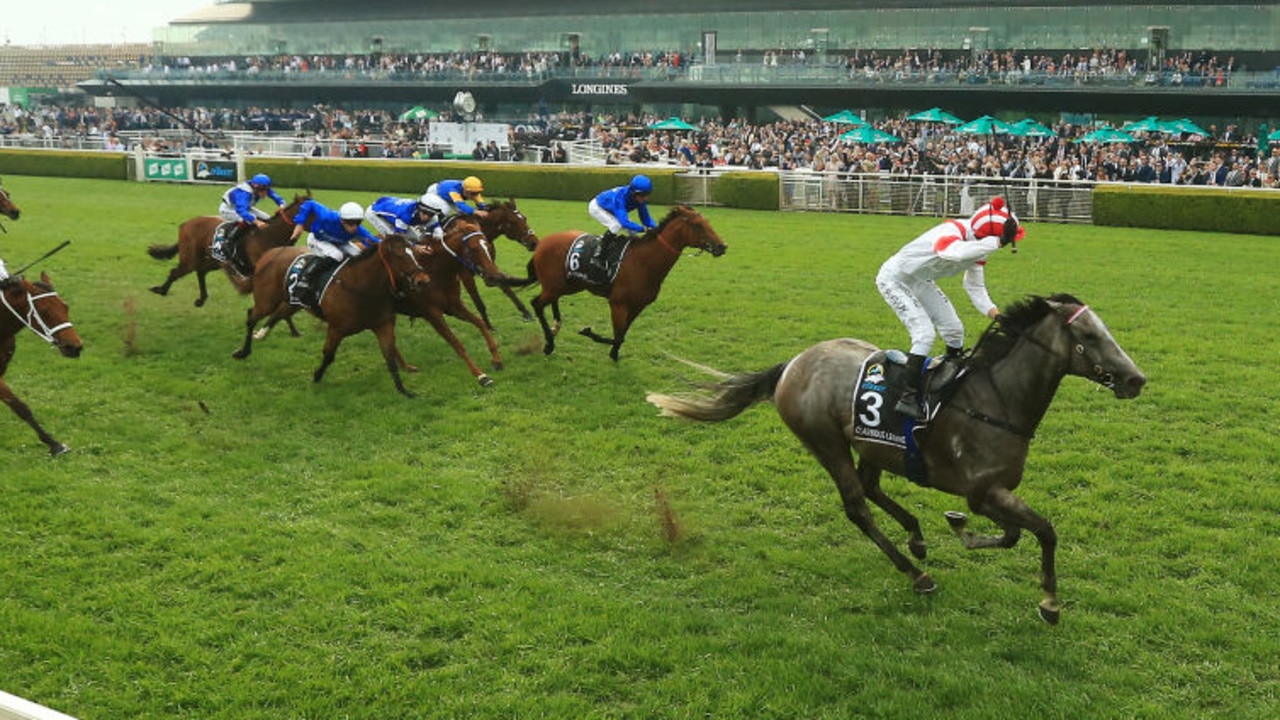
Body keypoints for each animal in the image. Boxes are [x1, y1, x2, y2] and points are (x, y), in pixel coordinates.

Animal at [0, 271, 82, 456]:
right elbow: (20, 407)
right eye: (44, 311)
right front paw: (55, 445)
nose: (75, 347)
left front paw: (55, 444)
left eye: (65, 307)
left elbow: (19, 407)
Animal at [147, 192, 309, 303]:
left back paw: (201, 299)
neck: (269, 235)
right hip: (190, 259)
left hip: (215, 260)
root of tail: (186, 224)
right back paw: (161, 290)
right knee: (175, 272)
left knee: (201, 271)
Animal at [231, 234, 430, 392]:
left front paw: (404, 389)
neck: (362, 287)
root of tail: (268, 255)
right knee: (251, 316)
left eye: (414, 253)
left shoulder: (383, 325)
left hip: (292, 302)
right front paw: (317, 376)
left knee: (277, 314)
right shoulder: (336, 328)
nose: (423, 280)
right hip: (266, 301)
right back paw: (244, 351)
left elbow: (390, 356)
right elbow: (328, 355)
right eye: (399, 255)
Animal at [460, 198, 540, 327]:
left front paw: (526, 312)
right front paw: (487, 325)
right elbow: (477, 300)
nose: (534, 242)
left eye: (524, 218)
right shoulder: (465, 274)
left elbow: (507, 287)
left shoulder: (491, 267)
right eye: (513, 221)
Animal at [529, 202, 727, 358]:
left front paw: (614, 353)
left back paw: (555, 329)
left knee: (549, 301)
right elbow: (617, 335)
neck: (644, 262)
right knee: (536, 303)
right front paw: (590, 333)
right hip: (556, 285)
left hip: (568, 285)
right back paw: (549, 343)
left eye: (708, 223)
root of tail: (542, 243)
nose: (722, 246)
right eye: (698, 225)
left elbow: (622, 335)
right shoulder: (618, 303)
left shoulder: (639, 305)